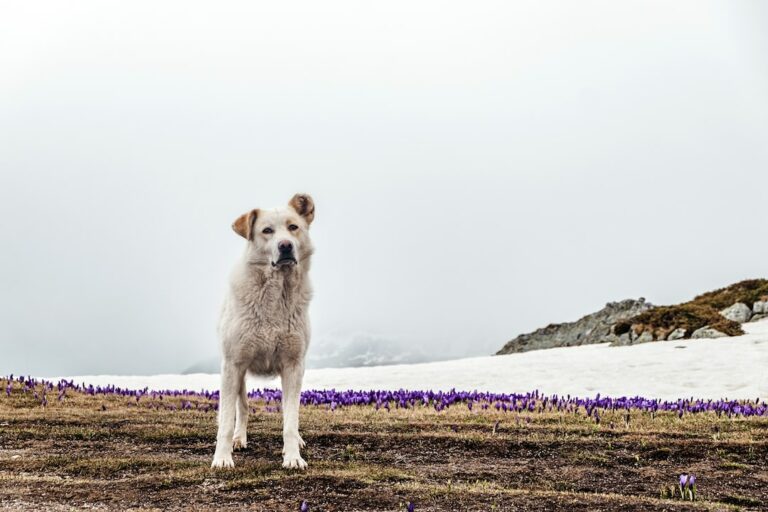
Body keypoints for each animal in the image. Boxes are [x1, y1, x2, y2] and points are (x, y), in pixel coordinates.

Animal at [212, 194, 314, 470]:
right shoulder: (233, 364)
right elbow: (226, 421)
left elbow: (290, 420)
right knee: (243, 408)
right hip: (239, 374)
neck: (276, 294)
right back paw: (238, 439)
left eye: (293, 227)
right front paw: (222, 458)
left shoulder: (293, 365)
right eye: (267, 231)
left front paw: (292, 457)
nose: (286, 246)